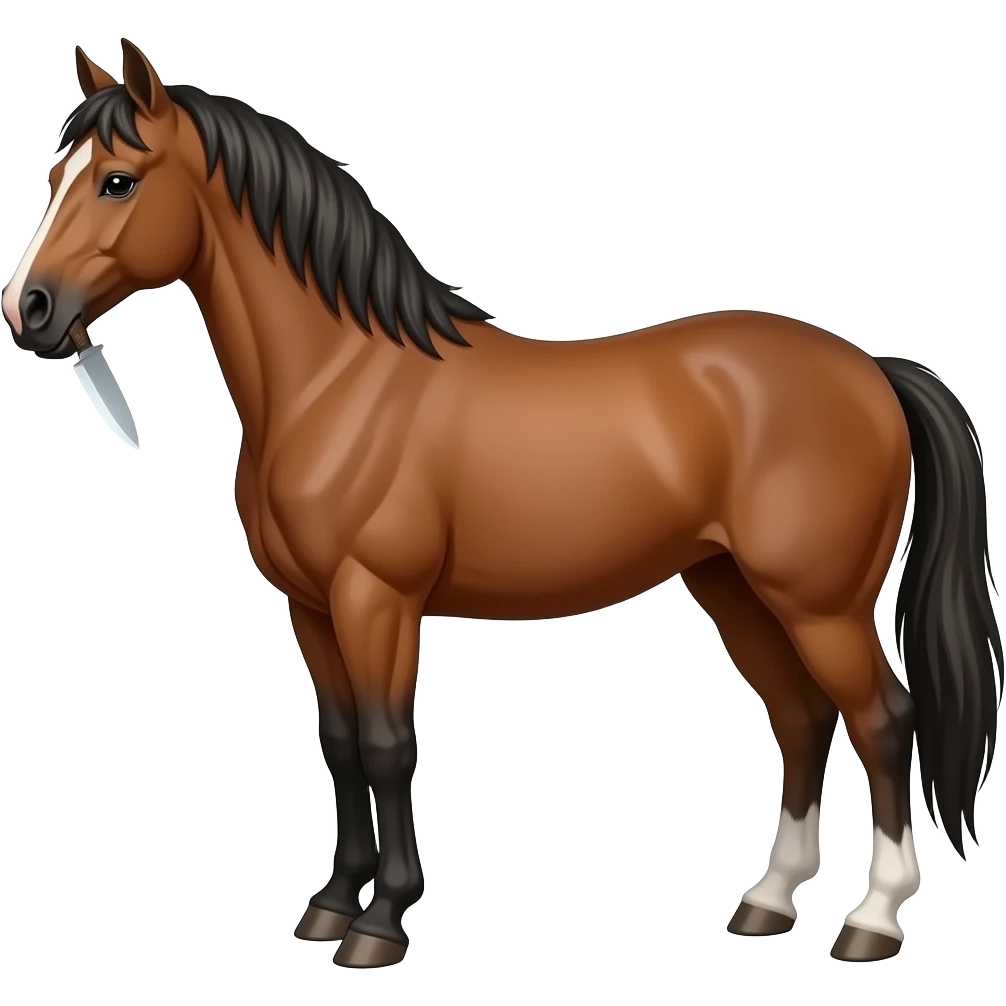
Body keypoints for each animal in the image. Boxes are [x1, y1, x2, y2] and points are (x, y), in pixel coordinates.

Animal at [4, 41, 1001, 968]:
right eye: (55, 178)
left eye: (119, 181)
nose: (29, 310)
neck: (339, 379)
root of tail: (869, 369)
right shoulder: (311, 605)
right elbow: (337, 742)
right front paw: (330, 904)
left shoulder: (377, 598)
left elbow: (385, 745)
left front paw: (380, 923)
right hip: (735, 589)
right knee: (800, 720)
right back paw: (767, 901)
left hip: (820, 603)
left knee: (885, 722)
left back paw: (871, 921)